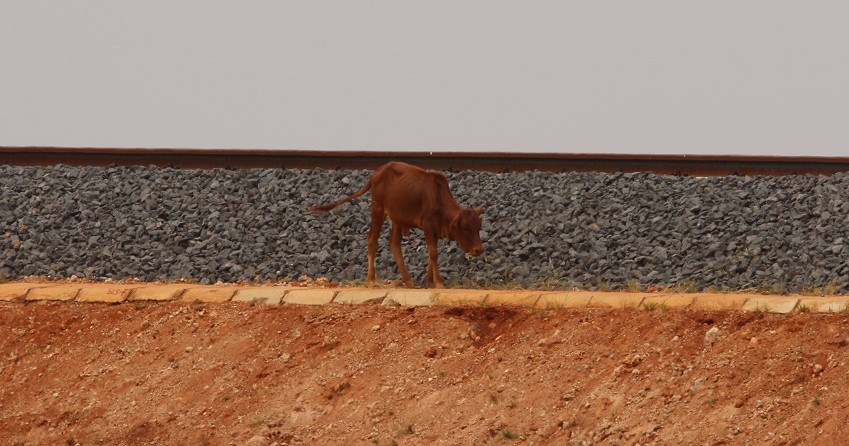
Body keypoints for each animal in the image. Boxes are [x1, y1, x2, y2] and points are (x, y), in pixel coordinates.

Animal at [310, 162, 484, 288]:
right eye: (465, 228)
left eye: (478, 227)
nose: (479, 249)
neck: (438, 197)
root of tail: (377, 173)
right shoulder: (427, 225)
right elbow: (434, 253)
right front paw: (439, 283)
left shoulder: (434, 230)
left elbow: (431, 254)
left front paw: (429, 282)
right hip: (378, 210)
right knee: (372, 239)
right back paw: (371, 280)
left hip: (396, 218)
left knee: (394, 244)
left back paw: (408, 281)